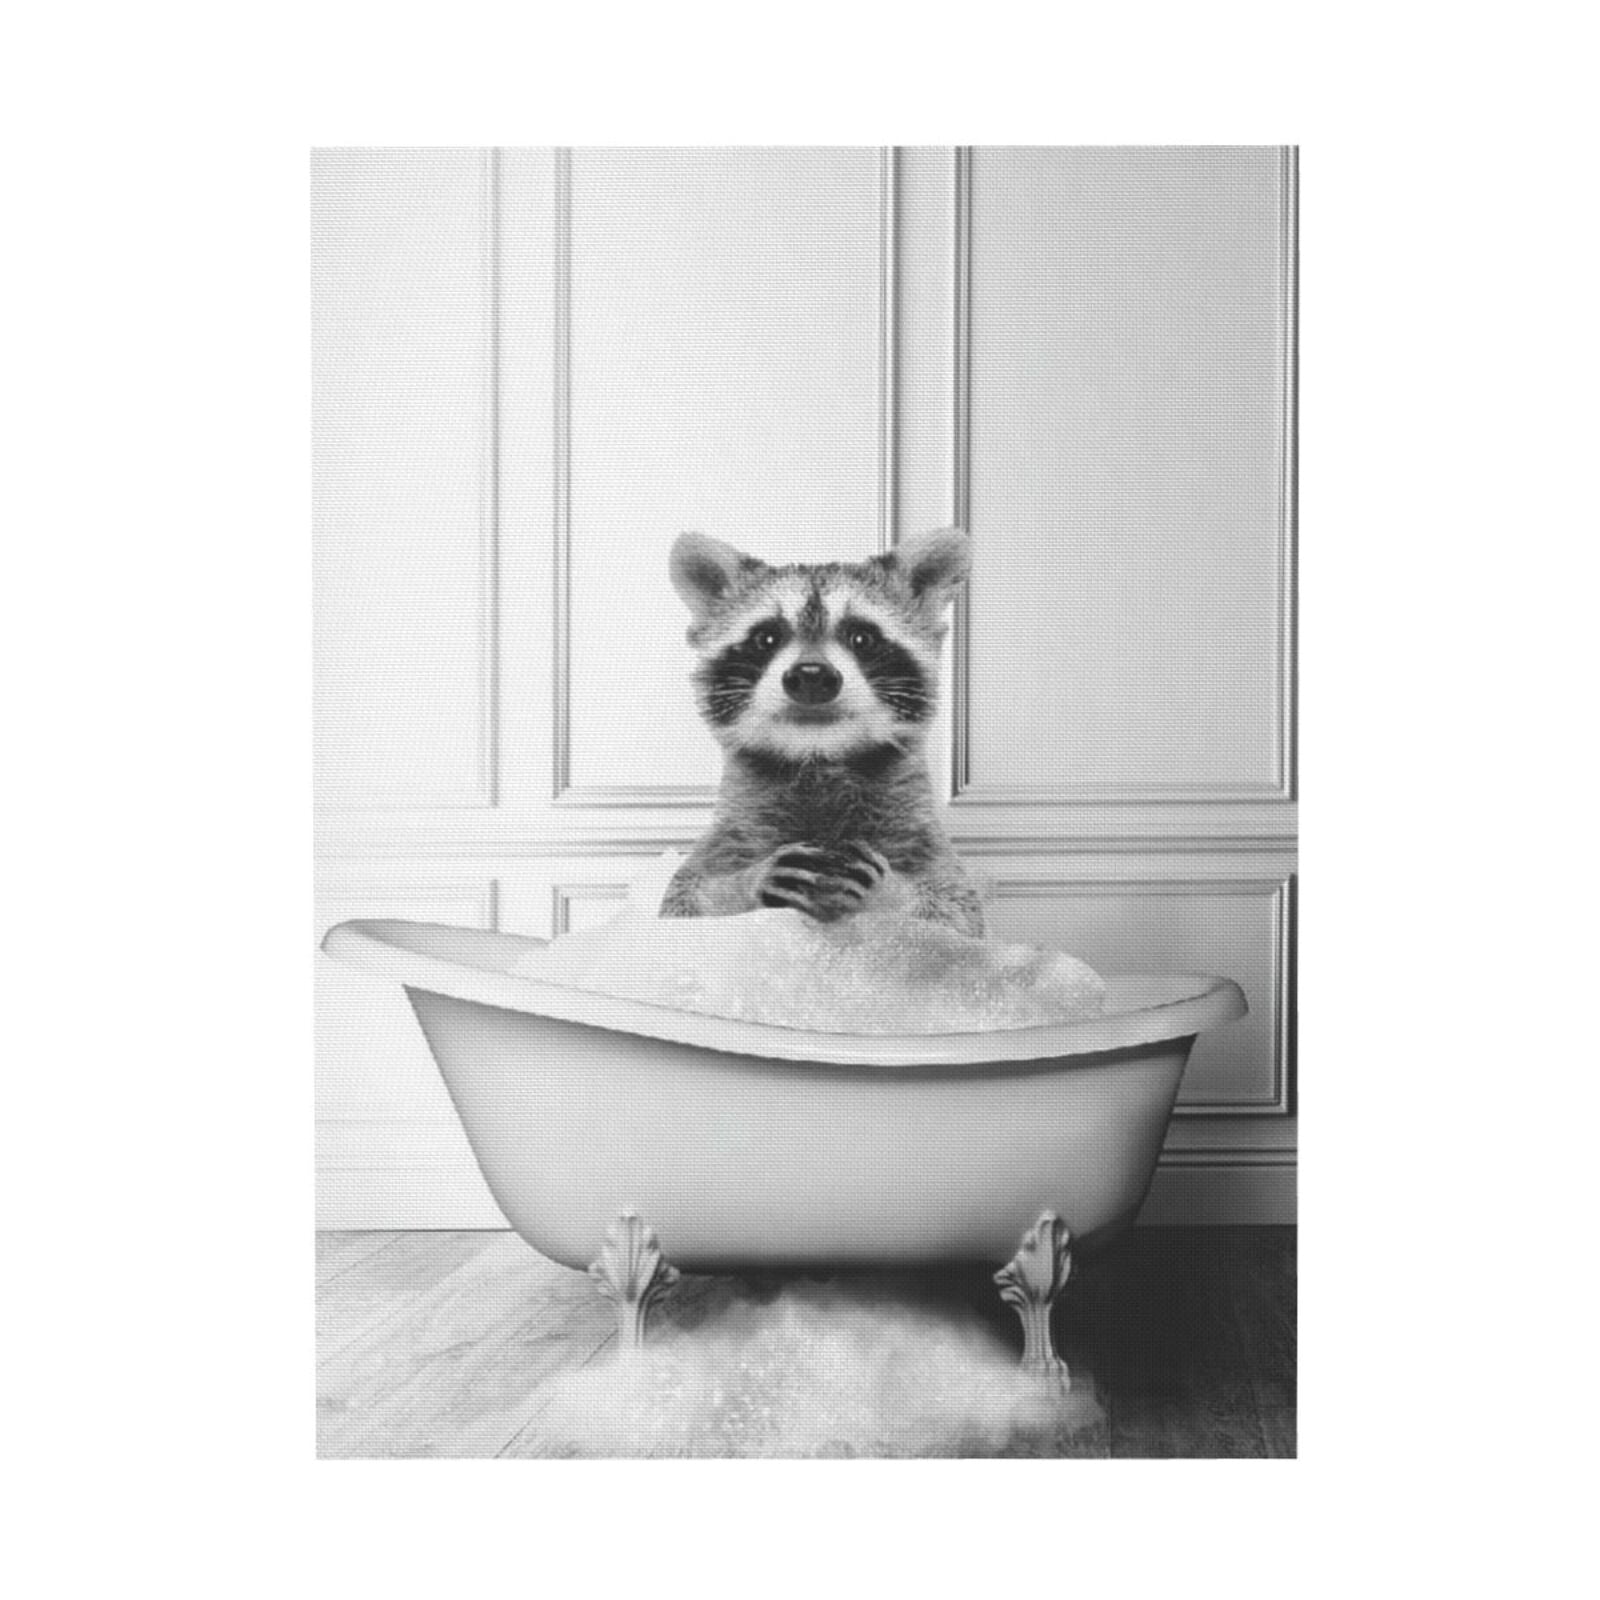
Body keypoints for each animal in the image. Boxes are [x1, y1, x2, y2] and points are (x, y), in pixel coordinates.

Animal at [659, 527, 984, 937]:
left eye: (862, 638)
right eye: (766, 638)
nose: (811, 676)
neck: (816, 757)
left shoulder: (923, 841)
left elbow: (957, 917)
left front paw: (893, 893)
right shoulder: (729, 835)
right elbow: (681, 908)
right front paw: (741, 884)